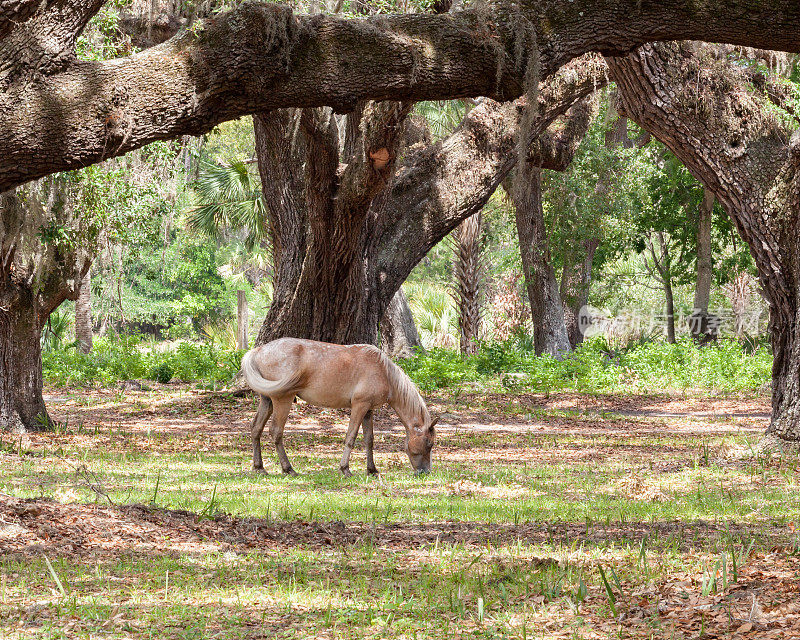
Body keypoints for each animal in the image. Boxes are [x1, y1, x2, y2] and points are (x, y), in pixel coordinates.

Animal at [241, 338, 438, 478]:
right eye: (429, 444)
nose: (425, 472)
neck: (383, 371)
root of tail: (258, 351)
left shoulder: (368, 410)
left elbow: (369, 440)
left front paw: (372, 470)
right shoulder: (359, 406)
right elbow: (351, 437)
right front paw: (345, 469)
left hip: (267, 400)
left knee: (256, 428)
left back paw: (259, 467)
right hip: (282, 400)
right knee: (276, 431)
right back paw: (288, 468)